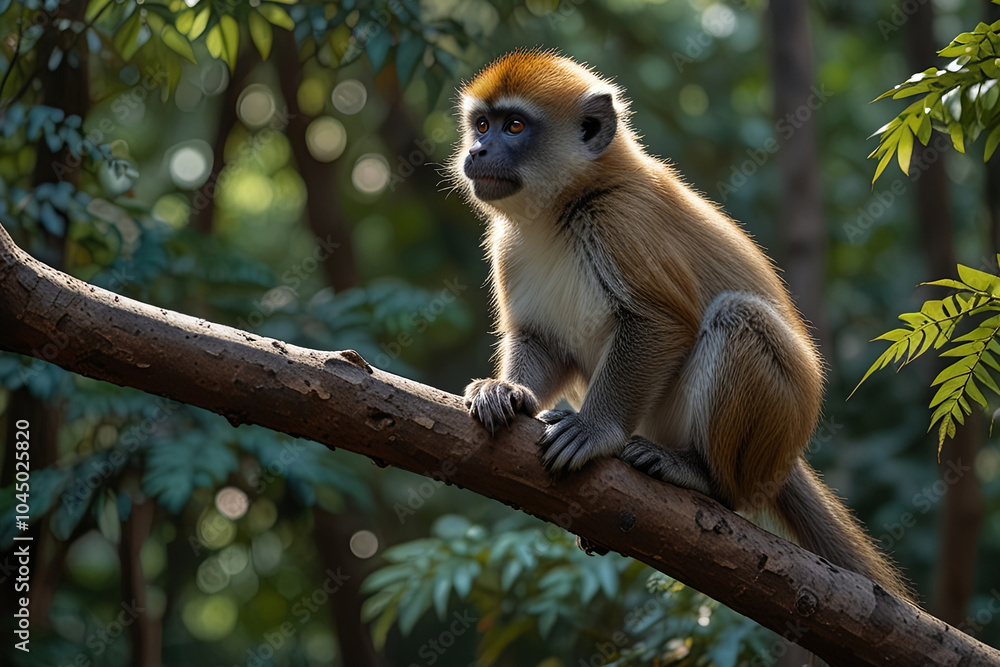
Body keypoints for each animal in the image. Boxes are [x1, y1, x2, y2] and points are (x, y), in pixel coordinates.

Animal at [451, 49, 914, 605]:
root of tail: (782, 458)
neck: (563, 208)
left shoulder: (620, 221)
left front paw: (593, 428)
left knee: (739, 318)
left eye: (514, 126)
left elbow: (662, 322)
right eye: (482, 124)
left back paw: (705, 478)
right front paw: (508, 392)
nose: (477, 150)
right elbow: (541, 339)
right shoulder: (510, 245)